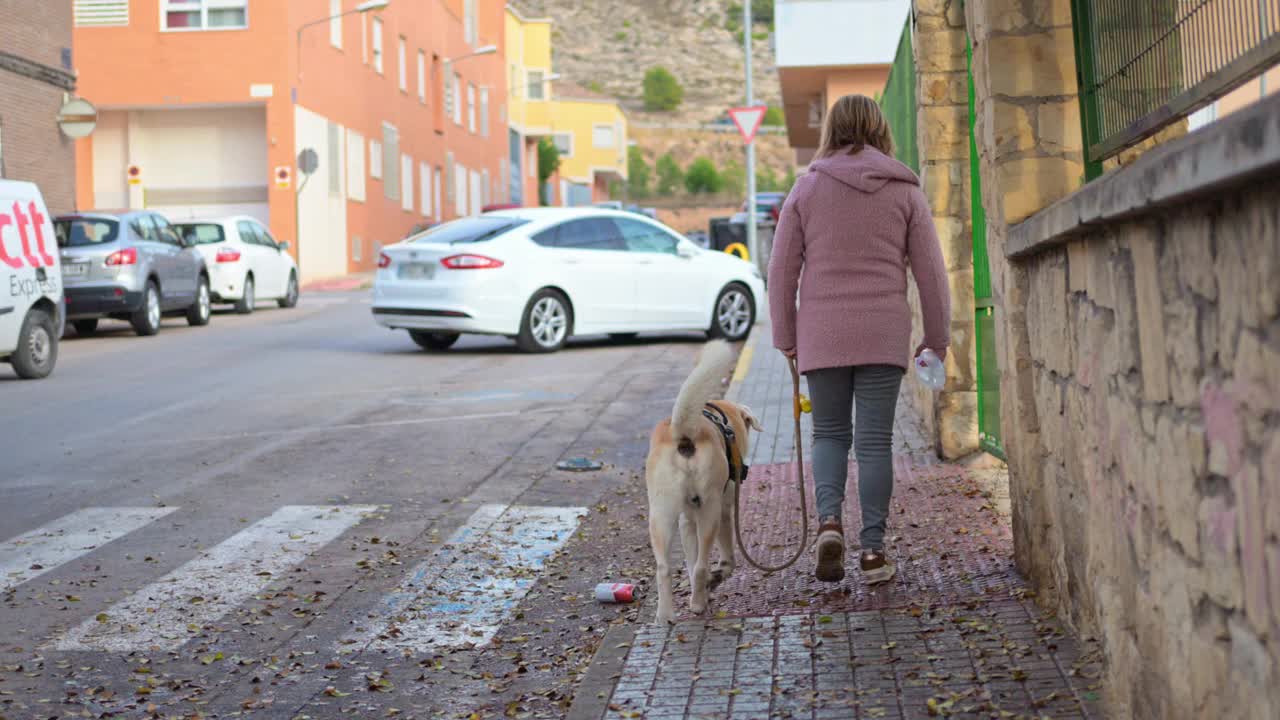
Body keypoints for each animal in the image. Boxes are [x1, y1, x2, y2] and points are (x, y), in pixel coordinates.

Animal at [650, 338, 757, 620]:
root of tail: (684, 435)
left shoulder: (687, 519)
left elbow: (690, 558)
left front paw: (705, 586)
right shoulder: (723, 510)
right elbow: (725, 559)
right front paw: (717, 577)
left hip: (661, 514)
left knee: (664, 567)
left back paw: (665, 615)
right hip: (710, 510)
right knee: (700, 565)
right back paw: (698, 604)